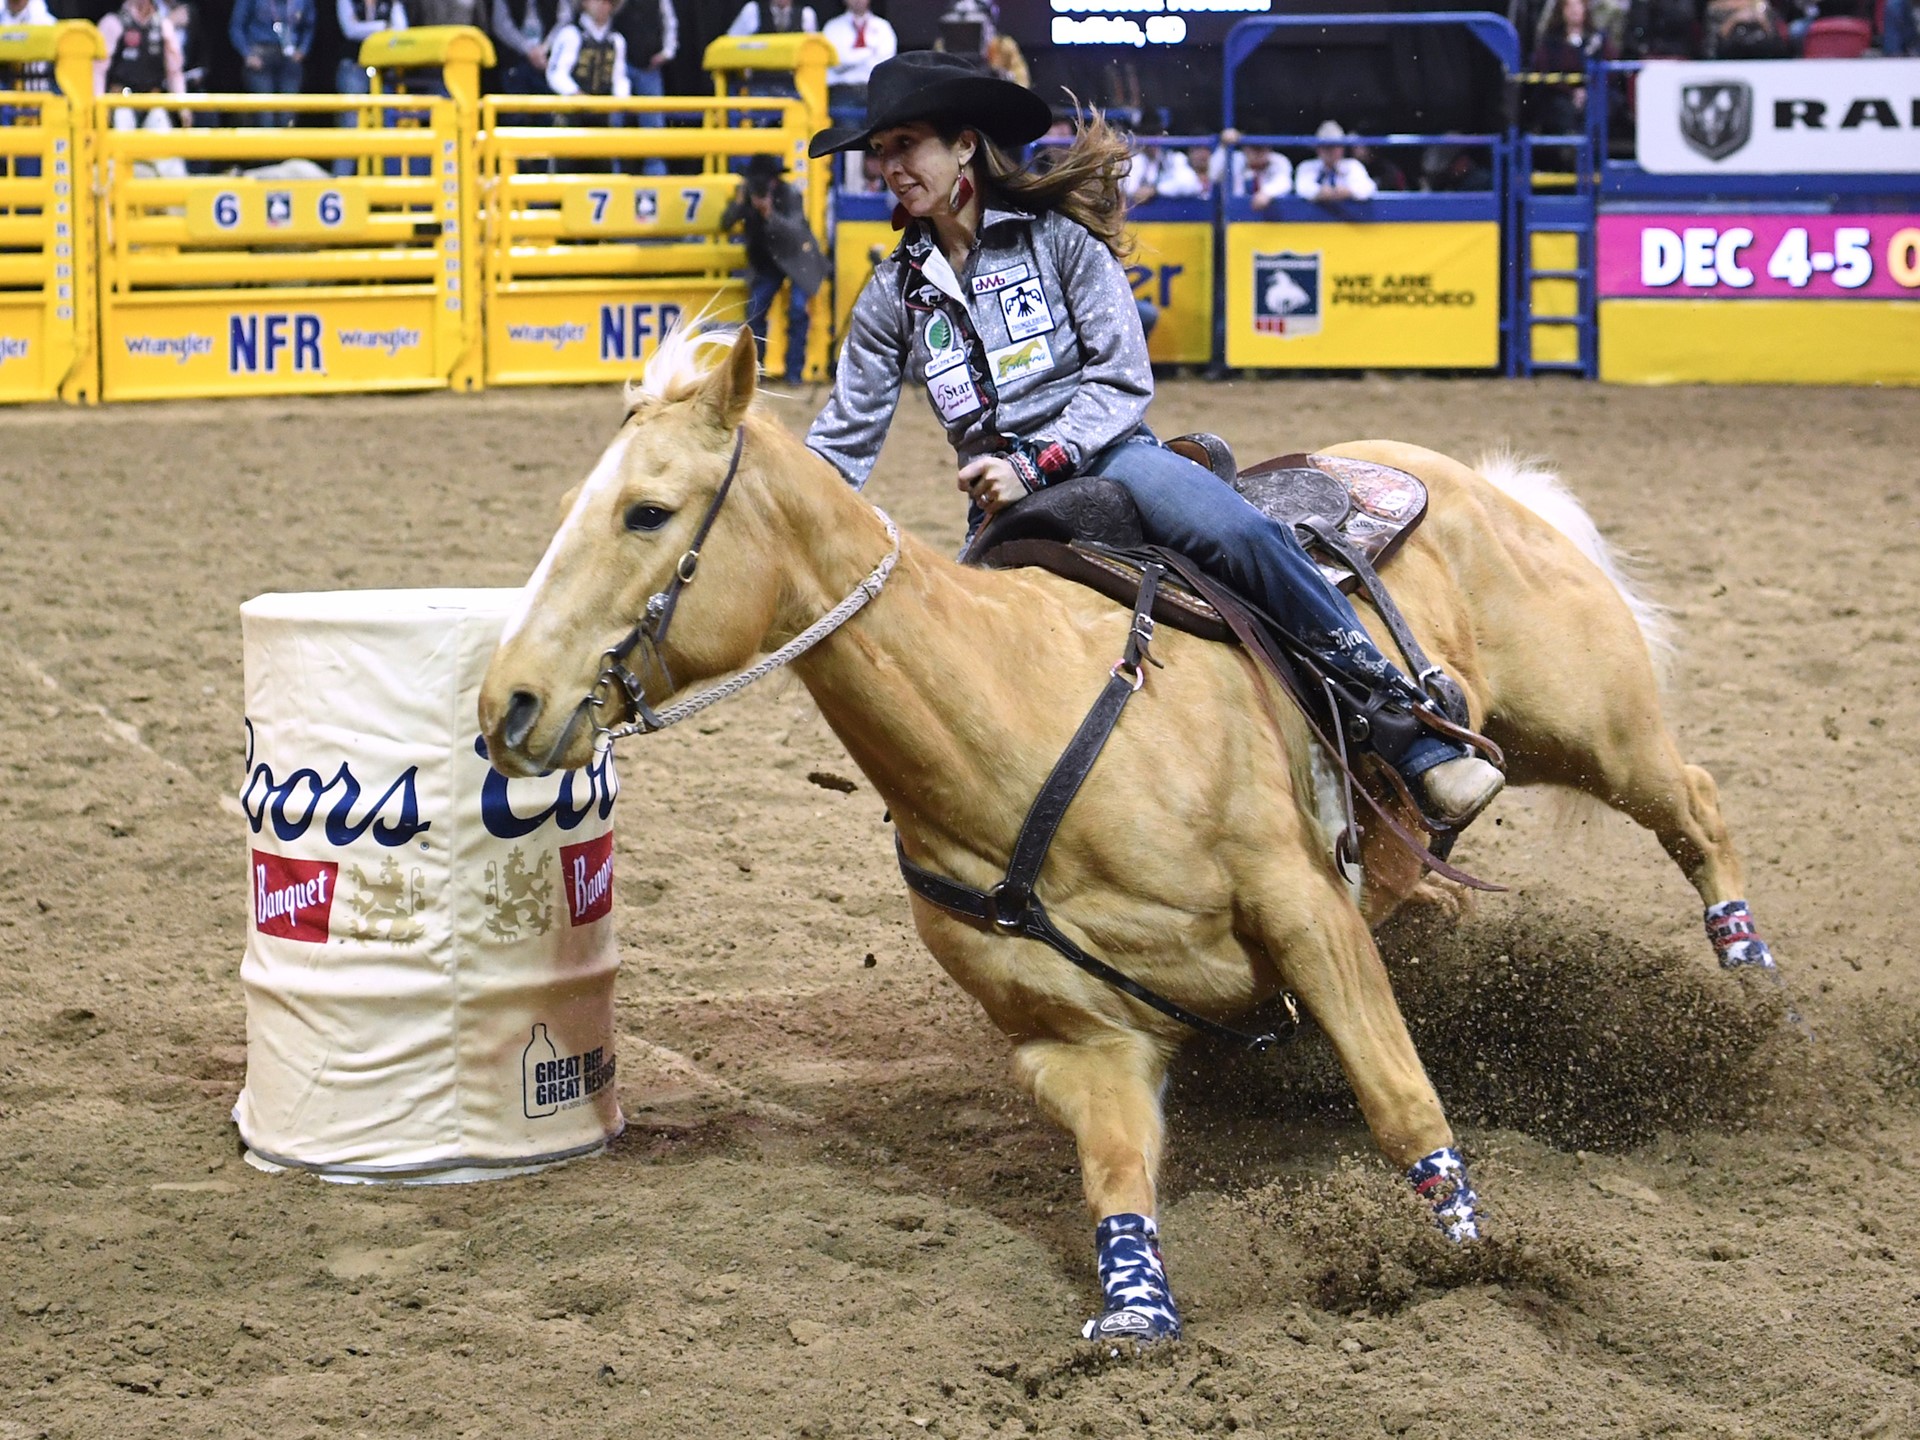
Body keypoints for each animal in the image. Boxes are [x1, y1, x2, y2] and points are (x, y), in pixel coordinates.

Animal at [483, 324, 1781, 1344]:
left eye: (647, 511)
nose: (511, 705)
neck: (1022, 710)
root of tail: (1468, 476)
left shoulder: (1306, 911)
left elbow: (1399, 1096)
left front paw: (1471, 1249)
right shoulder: (1077, 1038)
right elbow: (1116, 1178)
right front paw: (1134, 1310)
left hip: (1592, 727)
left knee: (1697, 802)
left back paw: (1753, 987)